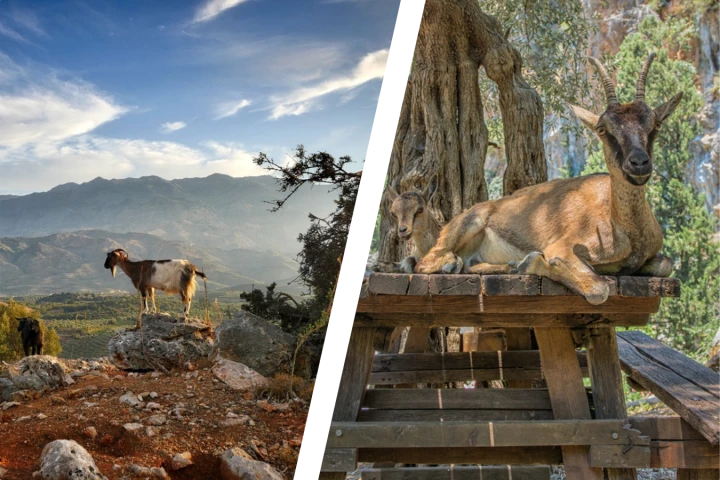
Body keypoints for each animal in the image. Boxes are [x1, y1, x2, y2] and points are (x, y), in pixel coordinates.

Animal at [415, 54, 679, 305]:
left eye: (656, 124)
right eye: (603, 129)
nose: (639, 162)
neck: (626, 230)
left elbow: (666, 264)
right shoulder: (563, 246)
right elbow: (598, 289)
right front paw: (530, 262)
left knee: (470, 263)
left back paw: (504, 265)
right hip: (469, 223)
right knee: (426, 262)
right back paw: (457, 263)